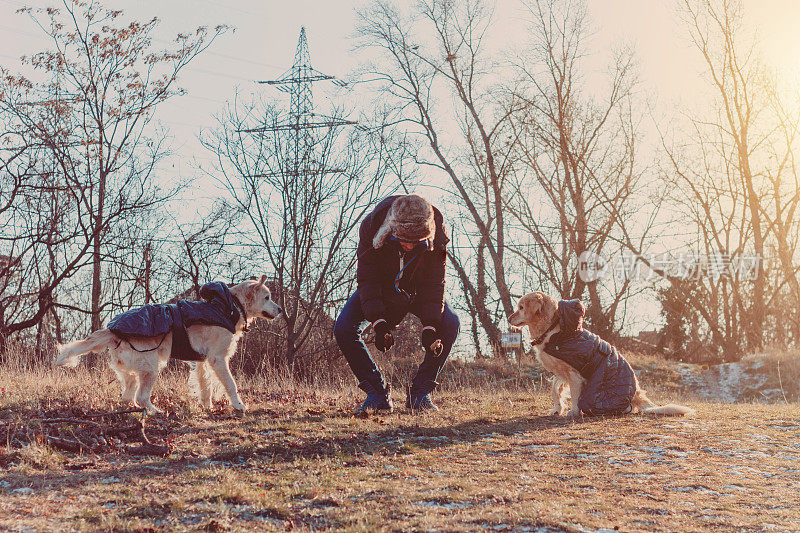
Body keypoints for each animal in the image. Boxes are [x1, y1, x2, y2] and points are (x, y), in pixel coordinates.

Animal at [54, 276, 282, 414]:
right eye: (267, 297)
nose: (280, 309)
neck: (229, 306)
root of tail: (112, 330)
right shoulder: (218, 359)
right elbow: (231, 384)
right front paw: (239, 405)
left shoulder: (202, 362)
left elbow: (206, 386)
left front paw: (207, 406)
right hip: (151, 367)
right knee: (142, 396)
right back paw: (155, 411)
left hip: (132, 370)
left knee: (128, 396)